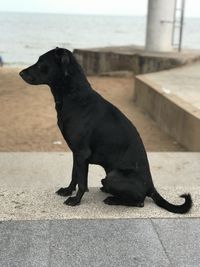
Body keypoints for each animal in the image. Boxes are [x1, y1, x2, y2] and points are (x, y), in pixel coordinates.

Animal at [19, 48, 192, 215]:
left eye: (41, 62)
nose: (20, 73)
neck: (74, 95)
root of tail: (151, 186)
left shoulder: (81, 153)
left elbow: (82, 182)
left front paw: (76, 200)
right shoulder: (76, 154)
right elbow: (74, 176)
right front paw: (68, 191)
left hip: (112, 177)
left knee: (139, 202)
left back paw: (113, 199)